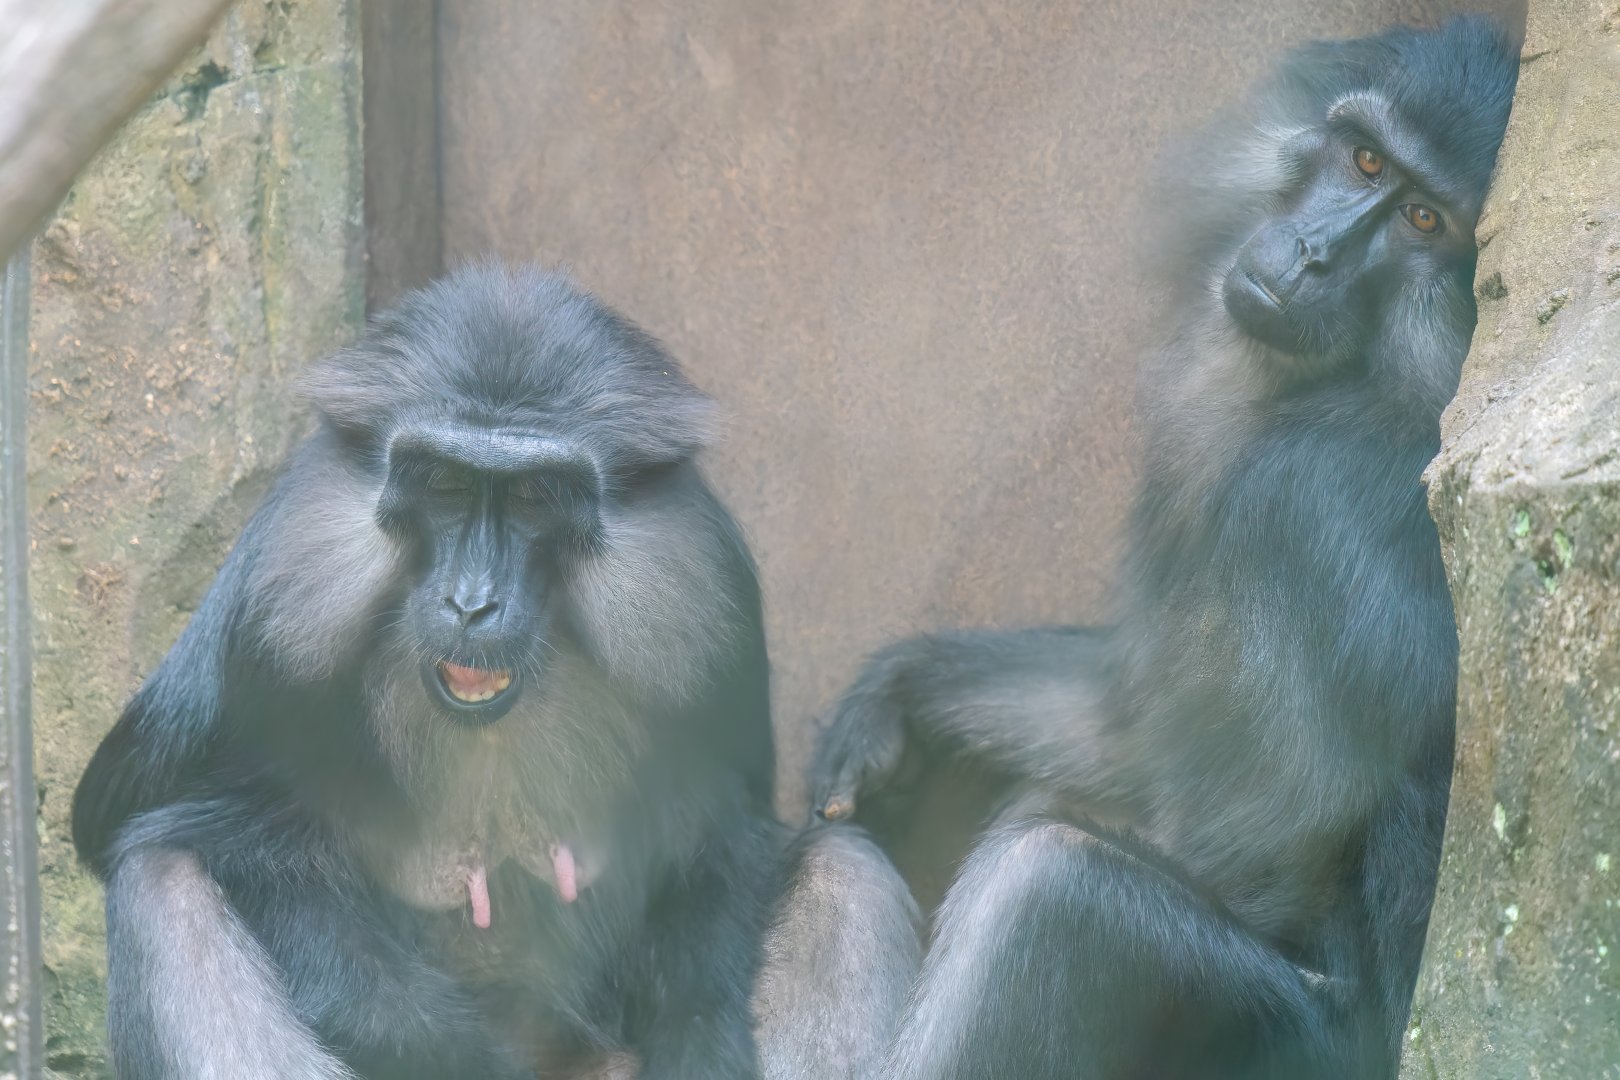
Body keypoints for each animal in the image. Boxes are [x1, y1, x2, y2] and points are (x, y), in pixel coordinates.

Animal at [71, 264, 919, 1080]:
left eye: (536, 494)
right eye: (445, 484)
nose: (471, 601)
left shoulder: (709, 592)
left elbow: (719, 838)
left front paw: (700, 1045)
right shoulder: (280, 598)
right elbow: (154, 824)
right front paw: (448, 1047)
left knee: (846, 871)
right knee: (160, 881)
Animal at [808, 17, 1518, 1079]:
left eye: (1426, 220)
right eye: (1364, 160)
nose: (1313, 252)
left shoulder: (1293, 498)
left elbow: (1232, 819)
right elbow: (1129, 722)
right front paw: (904, 687)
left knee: (1052, 890)